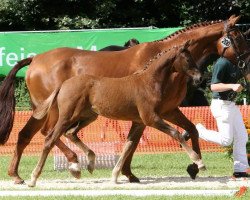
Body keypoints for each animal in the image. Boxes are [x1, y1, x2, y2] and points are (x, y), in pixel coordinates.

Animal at [29, 41, 205, 188]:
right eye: (188, 59)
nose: (199, 77)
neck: (149, 82)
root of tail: (63, 85)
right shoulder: (151, 118)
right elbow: (176, 133)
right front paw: (198, 161)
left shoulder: (139, 122)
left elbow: (128, 146)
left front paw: (114, 176)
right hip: (67, 117)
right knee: (50, 139)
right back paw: (33, 178)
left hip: (88, 116)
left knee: (70, 133)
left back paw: (89, 162)